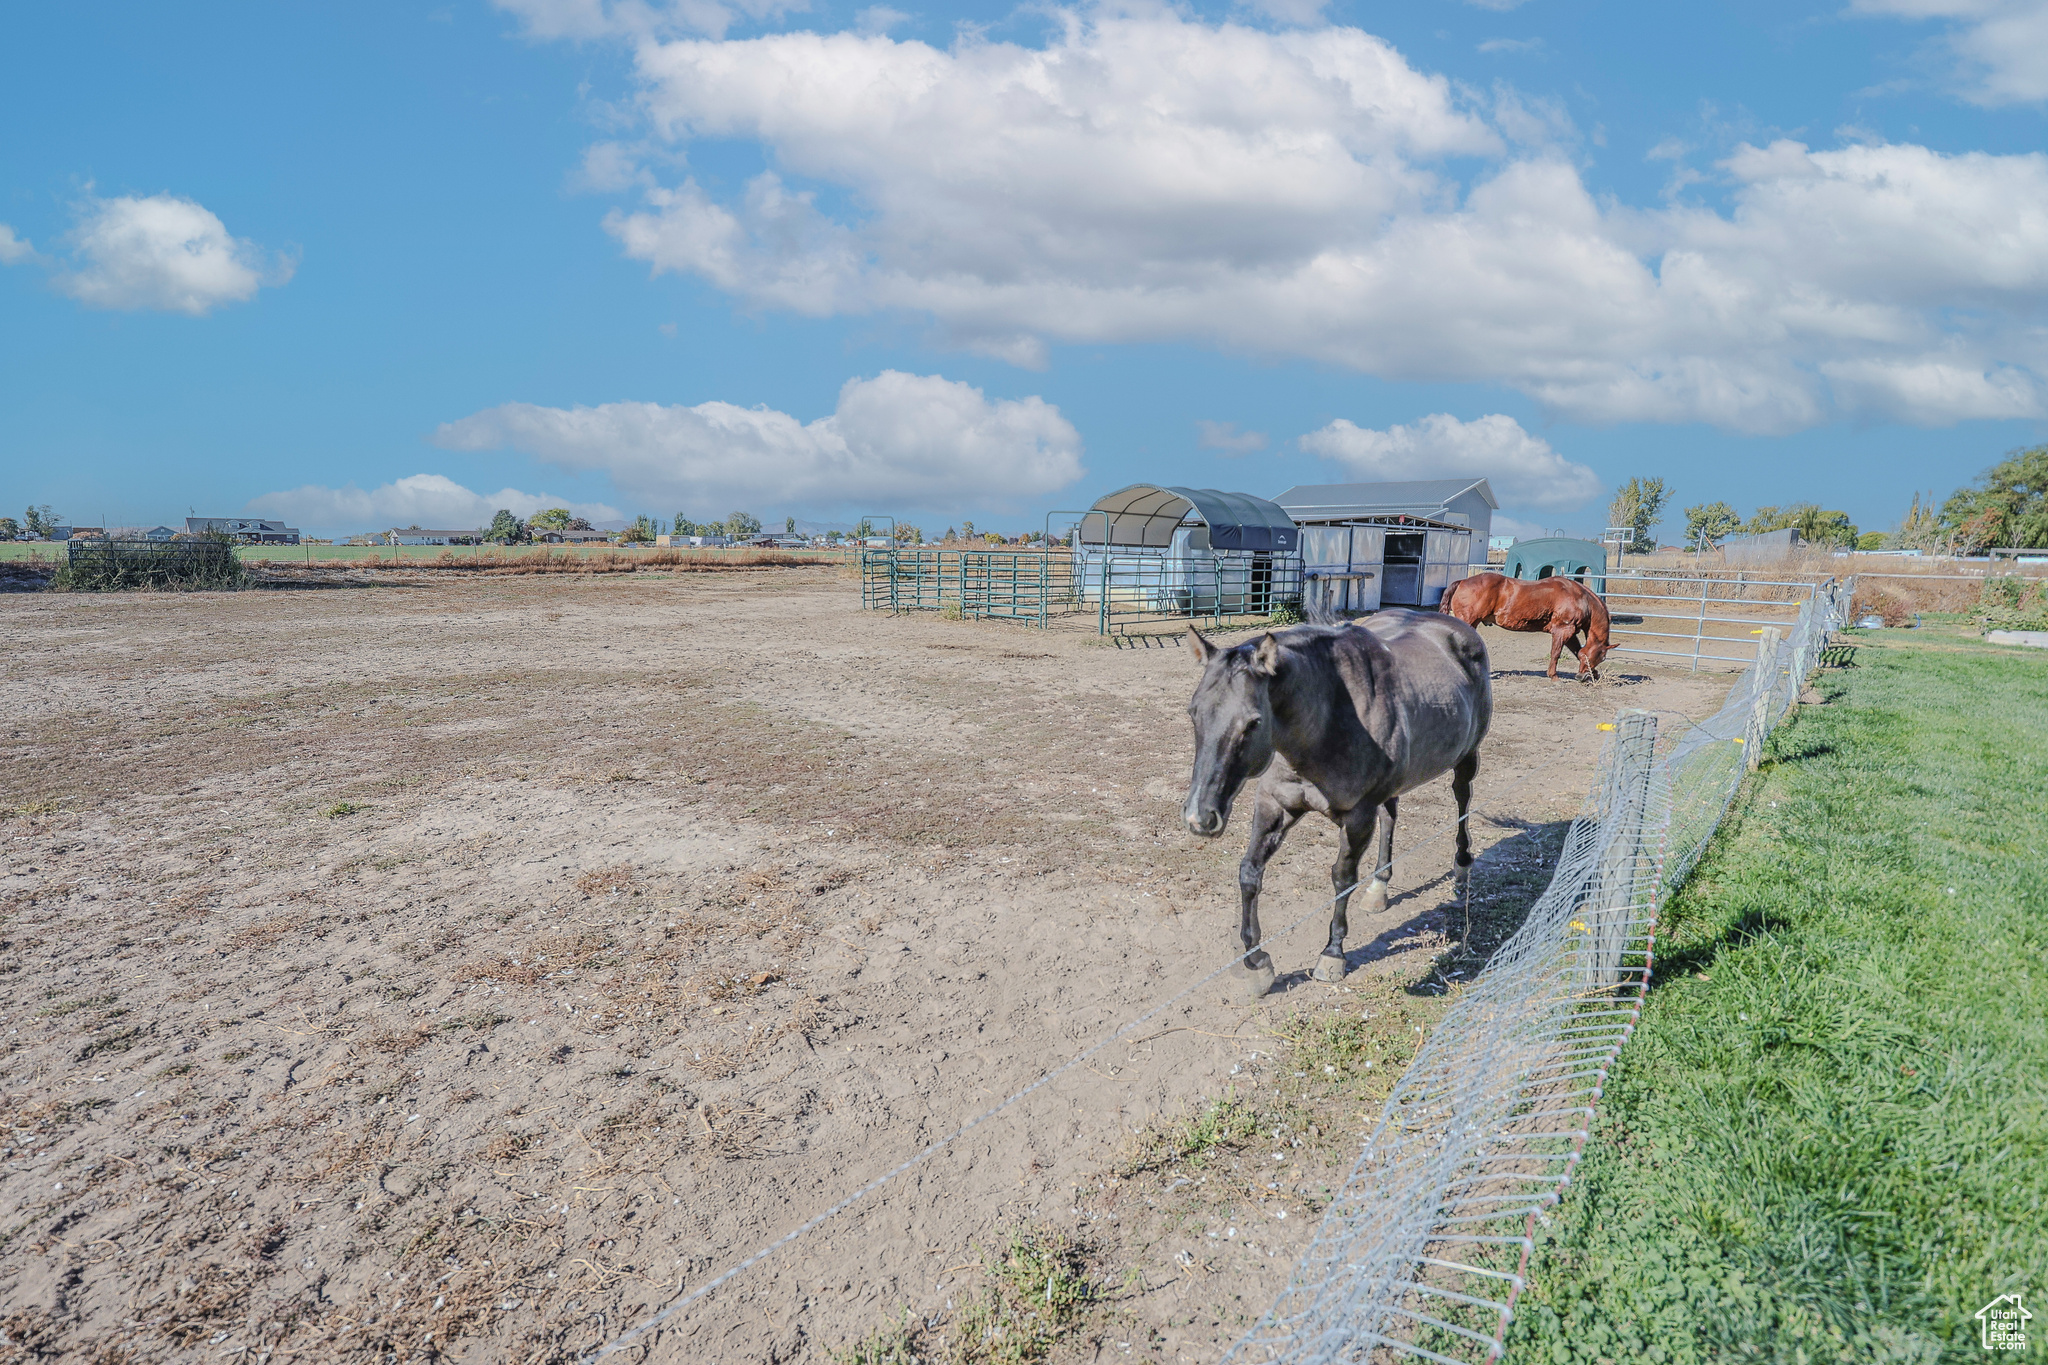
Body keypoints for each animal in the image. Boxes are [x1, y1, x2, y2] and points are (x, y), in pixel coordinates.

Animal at [1187, 613, 1490, 998]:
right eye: (1193, 712)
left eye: (1253, 722)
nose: (1200, 817)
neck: (1325, 722)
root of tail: (1457, 627)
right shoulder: (1274, 804)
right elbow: (1249, 874)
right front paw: (1256, 964)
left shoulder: (1358, 816)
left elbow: (1342, 877)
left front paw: (1332, 954)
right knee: (1391, 816)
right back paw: (1379, 888)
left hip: (1466, 758)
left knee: (1462, 799)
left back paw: (1462, 867)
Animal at [1441, 573, 1613, 683]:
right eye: (1603, 657)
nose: (1580, 677)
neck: (1580, 598)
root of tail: (1462, 581)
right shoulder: (1563, 630)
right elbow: (1556, 653)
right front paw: (1554, 676)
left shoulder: (1570, 633)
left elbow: (1578, 651)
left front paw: (1594, 674)